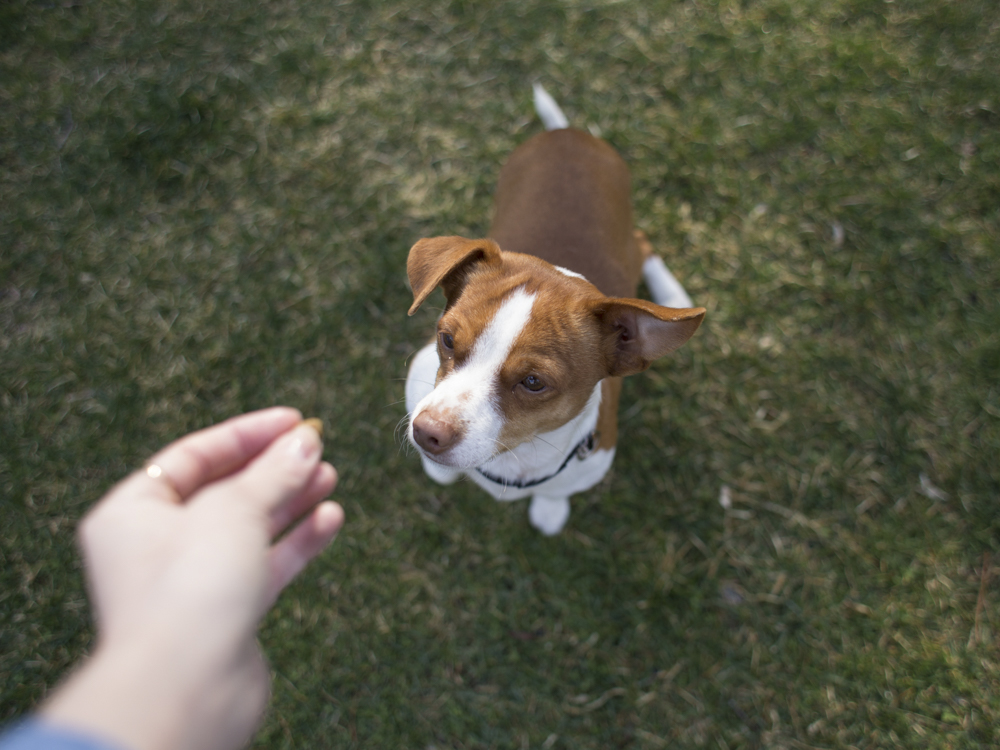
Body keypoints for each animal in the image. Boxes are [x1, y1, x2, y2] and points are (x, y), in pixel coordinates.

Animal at [404, 86, 704, 536]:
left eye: (533, 382)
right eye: (447, 340)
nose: (427, 433)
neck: (513, 463)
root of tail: (570, 132)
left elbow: (556, 492)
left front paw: (549, 509)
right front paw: (437, 471)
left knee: (643, 241)